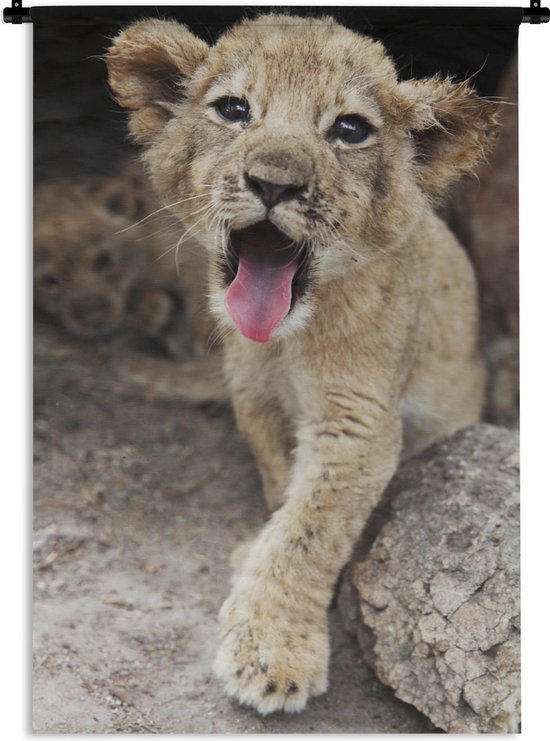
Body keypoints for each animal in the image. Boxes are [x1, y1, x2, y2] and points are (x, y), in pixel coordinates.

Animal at [106, 14, 499, 714]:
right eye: (234, 110)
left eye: (350, 129)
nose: (274, 184)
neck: (284, 344)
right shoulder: (254, 398)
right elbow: (280, 488)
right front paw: (255, 560)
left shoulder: (359, 421)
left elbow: (310, 531)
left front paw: (271, 648)